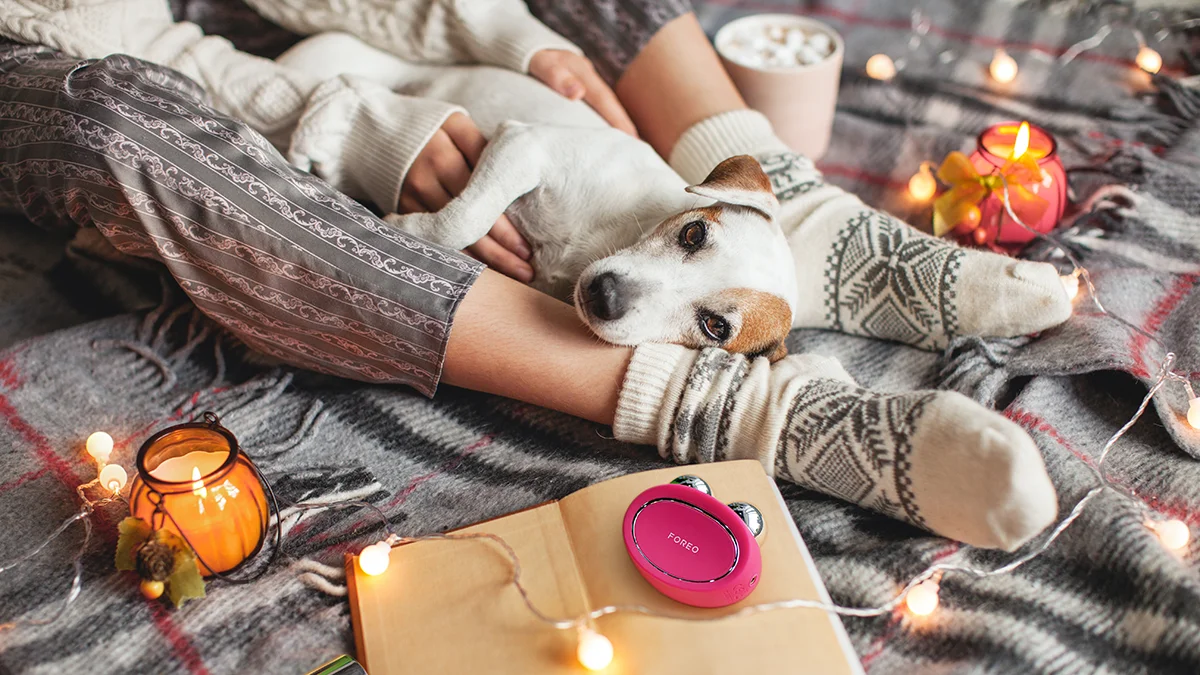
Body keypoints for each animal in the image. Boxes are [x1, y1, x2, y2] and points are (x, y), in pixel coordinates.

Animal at [278, 34, 796, 360]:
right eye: (694, 233)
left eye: (716, 328)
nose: (605, 294)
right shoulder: (524, 145)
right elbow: (463, 220)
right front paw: (407, 227)